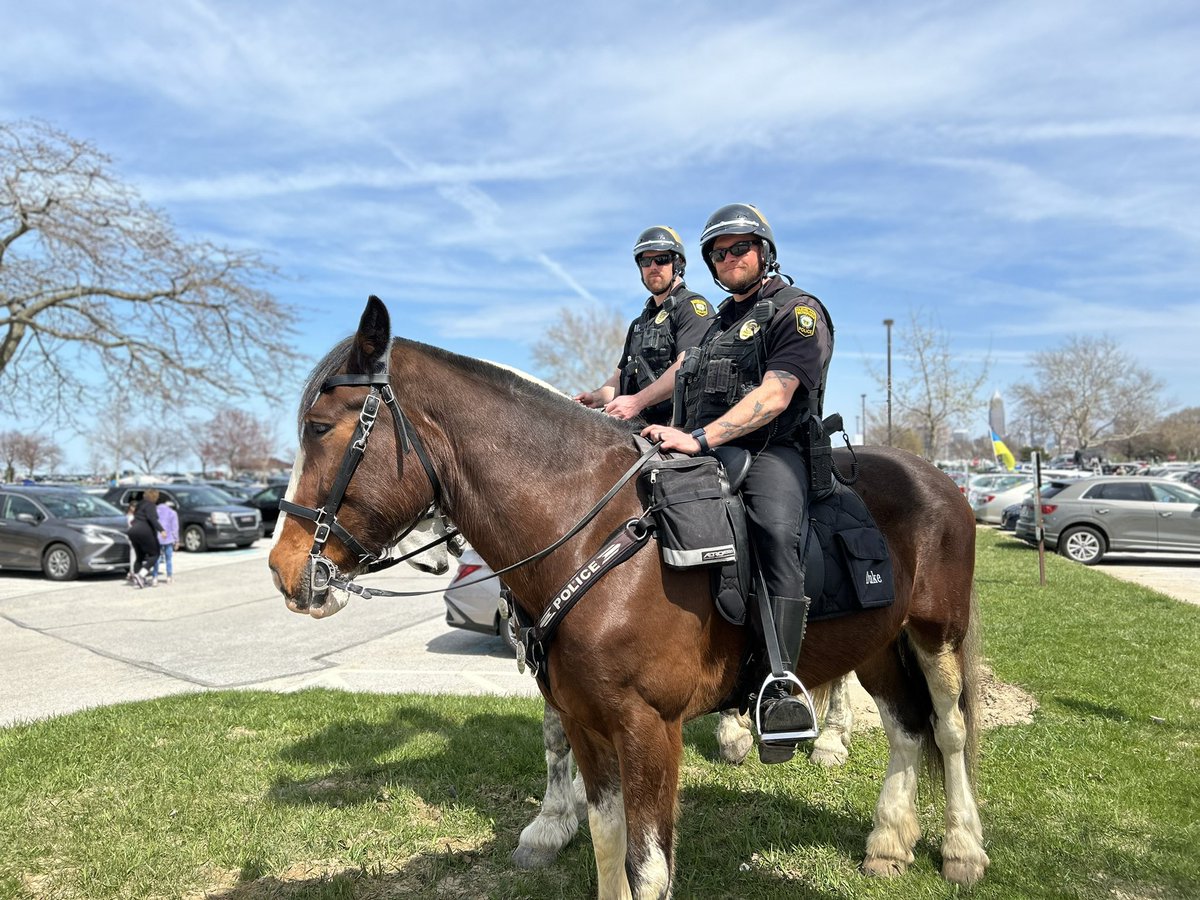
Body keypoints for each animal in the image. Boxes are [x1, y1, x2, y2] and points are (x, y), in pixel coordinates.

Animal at [270, 300, 984, 897]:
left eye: (319, 426)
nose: (282, 569)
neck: (597, 533)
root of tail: (936, 479)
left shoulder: (648, 730)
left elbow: (648, 867)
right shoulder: (588, 724)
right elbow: (606, 843)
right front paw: (553, 827)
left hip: (935, 632)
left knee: (948, 728)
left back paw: (962, 848)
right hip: (879, 641)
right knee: (905, 728)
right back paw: (889, 842)